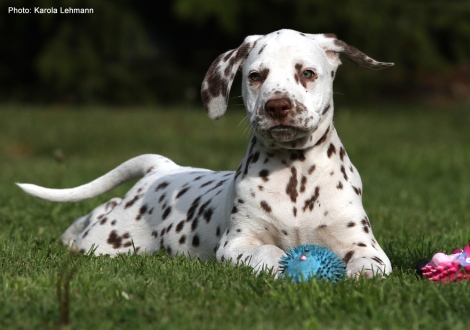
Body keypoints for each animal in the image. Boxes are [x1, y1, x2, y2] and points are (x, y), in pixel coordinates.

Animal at [17, 28, 392, 278]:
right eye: (256, 76)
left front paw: (359, 276)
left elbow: (369, 264)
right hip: (109, 241)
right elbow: (268, 250)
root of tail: (163, 169)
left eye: (308, 73)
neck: (295, 174)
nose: (277, 106)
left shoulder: (365, 245)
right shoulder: (237, 242)